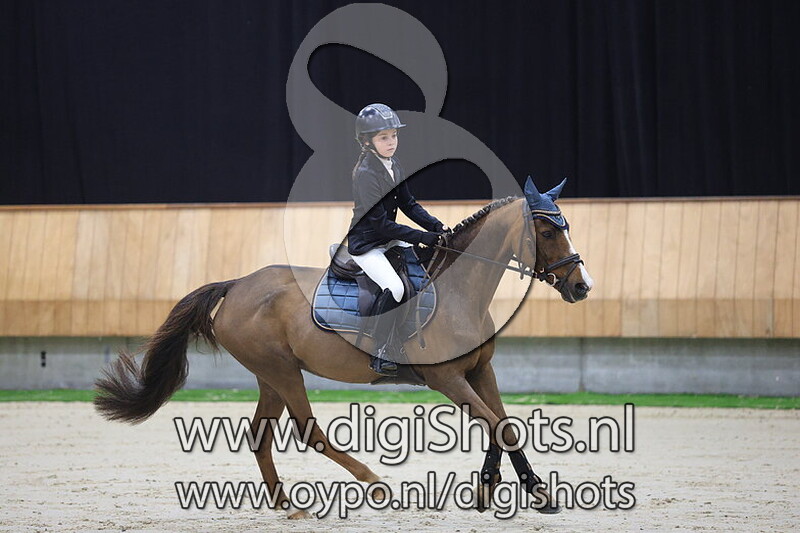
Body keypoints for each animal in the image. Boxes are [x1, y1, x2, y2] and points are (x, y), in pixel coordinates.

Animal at [94, 177, 594, 518]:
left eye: (568, 227)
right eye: (548, 233)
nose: (582, 287)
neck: (460, 291)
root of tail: (237, 285)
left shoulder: (478, 370)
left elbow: (502, 424)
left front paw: (504, 488)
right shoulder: (448, 378)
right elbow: (498, 426)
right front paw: (520, 491)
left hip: (270, 375)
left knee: (260, 435)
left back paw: (286, 504)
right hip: (282, 371)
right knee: (309, 431)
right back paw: (373, 482)